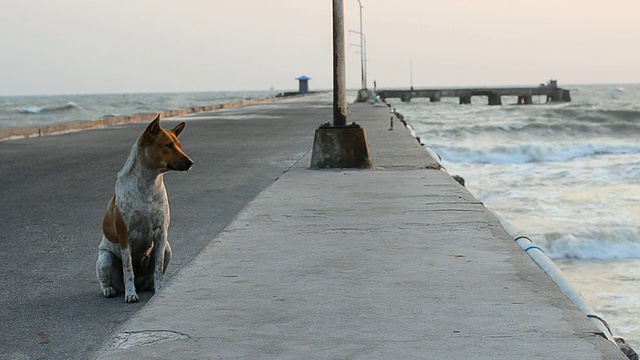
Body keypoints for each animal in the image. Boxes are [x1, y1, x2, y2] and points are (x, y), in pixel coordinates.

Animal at [95, 116, 192, 302]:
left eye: (180, 146)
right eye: (168, 145)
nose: (191, 163)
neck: (148, 185)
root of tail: (141, 285)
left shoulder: (161, 234)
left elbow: (158, 268)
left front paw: (160, 289)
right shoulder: (125, 236)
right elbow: (128, 270)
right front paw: (130, 294)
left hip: (168, 248)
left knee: (151, 276)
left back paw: (151, 286)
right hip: (105, 258)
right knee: (107, 278)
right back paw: (110, 289)